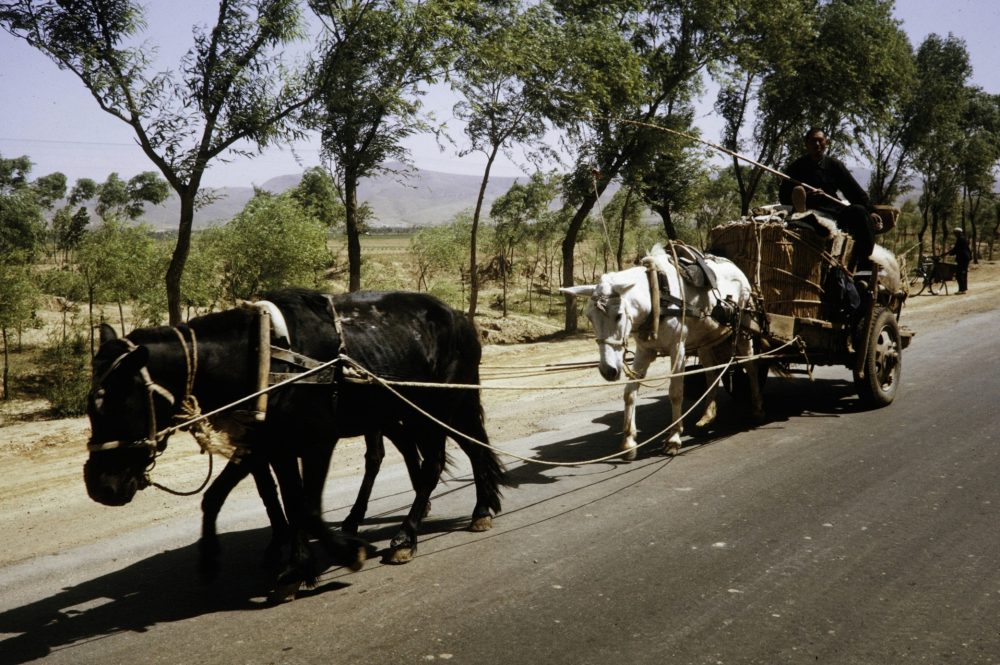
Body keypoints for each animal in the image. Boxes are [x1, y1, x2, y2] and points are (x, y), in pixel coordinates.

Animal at [85, 288, 504, 600]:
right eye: (91, 404)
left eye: (122, 403)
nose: (101, 487)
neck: (264, 357)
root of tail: (457, 315)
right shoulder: (273, 446)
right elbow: (263, 498)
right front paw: (276, 563)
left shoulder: (317, 442)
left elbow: (306, 507)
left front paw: (341, 553)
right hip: (412, 414)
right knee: (459, 452)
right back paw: (475, 508)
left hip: (440, 406)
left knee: (442, 460)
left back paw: (412, 534)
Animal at [560, 245, 760, 462]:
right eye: (590, 317)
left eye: (619, 315)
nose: (608, 370)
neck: (656, 298)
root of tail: (736, 267)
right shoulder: (644, 351)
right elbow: (630, 392)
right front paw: (629, 442)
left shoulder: (677, 349)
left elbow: (675, 392)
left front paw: (673, 439)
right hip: (706, 340)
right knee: (711, 371)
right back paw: (708, 415)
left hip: (743, 330)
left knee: (751, 365)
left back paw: (757, 408)